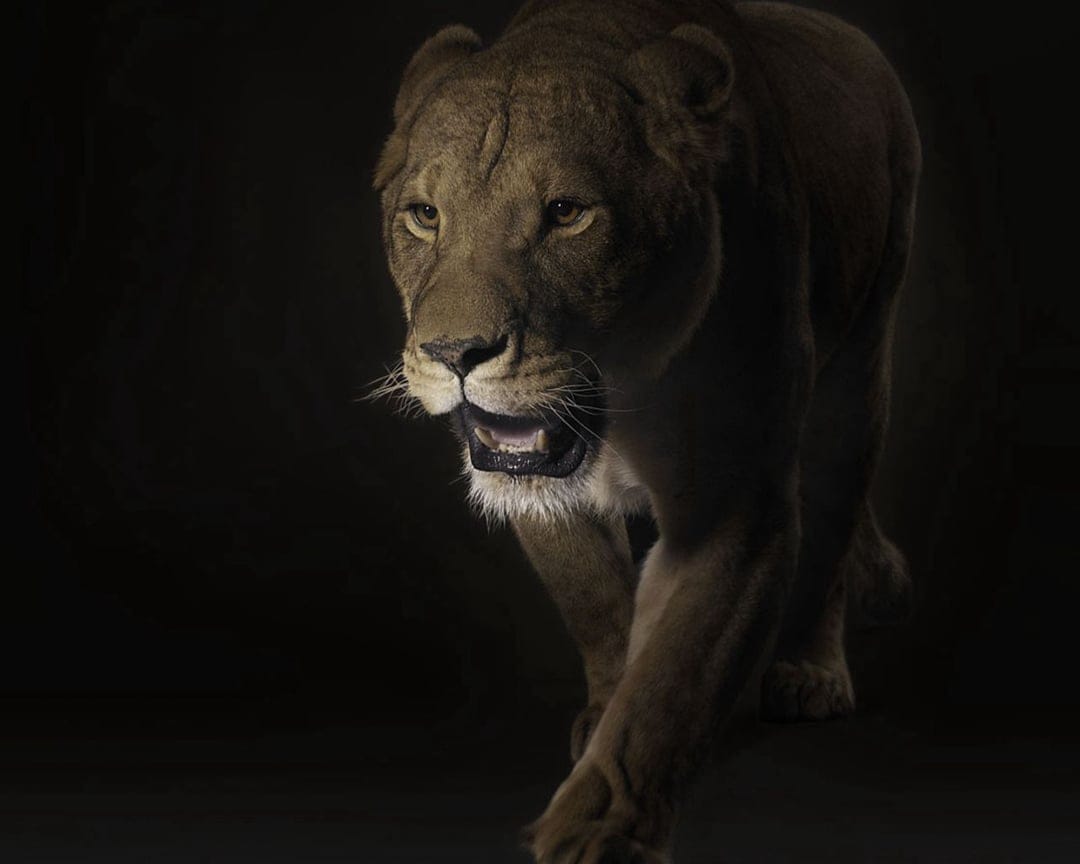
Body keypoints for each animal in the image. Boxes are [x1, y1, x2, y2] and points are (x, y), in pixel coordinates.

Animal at [373, 0, 919, 860]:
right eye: (425, 216)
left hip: (861, 361)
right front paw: (602, 711)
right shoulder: (545, 496)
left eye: (566, 214)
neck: (621, 399)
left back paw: (810, 671)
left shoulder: (735, 506)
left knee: (834, 519)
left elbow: (673, 679)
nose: (454, 353)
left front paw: (598, 828)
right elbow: (598, 605)